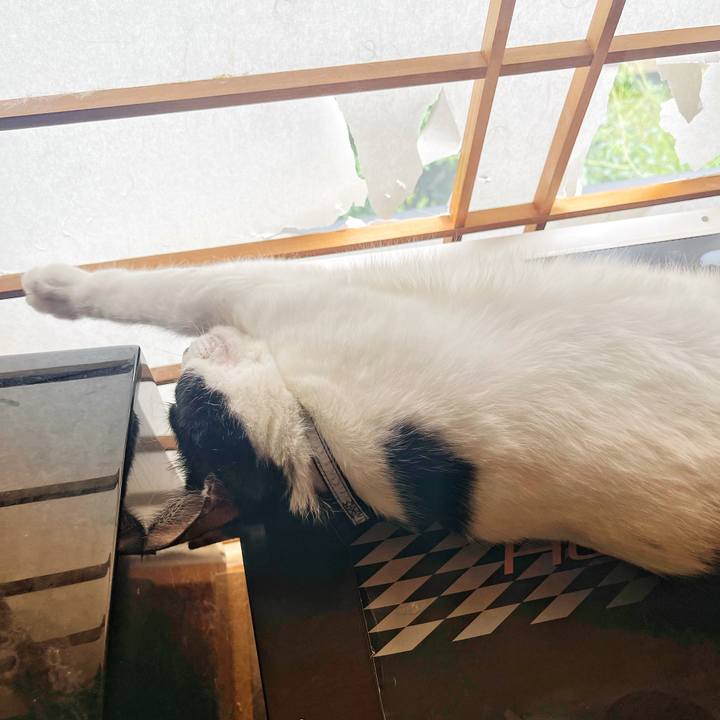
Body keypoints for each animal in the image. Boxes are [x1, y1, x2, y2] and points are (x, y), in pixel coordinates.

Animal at [21, 242, 720, 576]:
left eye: (181, 399)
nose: (190, 352)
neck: (324, 453)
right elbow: (167, 291)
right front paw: (56, 288)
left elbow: (162, 292)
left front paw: (50, 286)